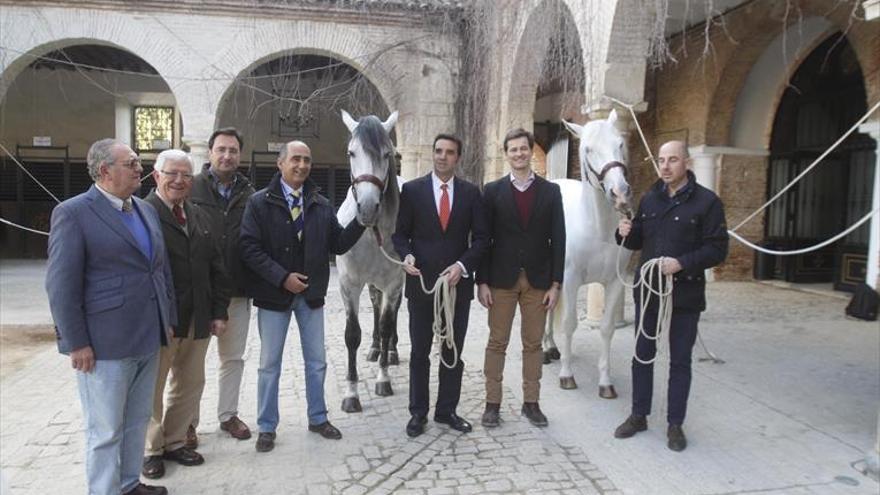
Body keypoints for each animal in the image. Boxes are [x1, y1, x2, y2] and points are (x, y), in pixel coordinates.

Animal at [544, 108, 632, 400]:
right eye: (588, 149)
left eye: (620, 144)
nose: (620, 193)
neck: (599, 230)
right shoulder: (570, 279)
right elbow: (570, 323)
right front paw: (566, 375)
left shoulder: (615, 282)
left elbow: (606, 329)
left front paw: (605, 382)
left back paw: (551, 347)